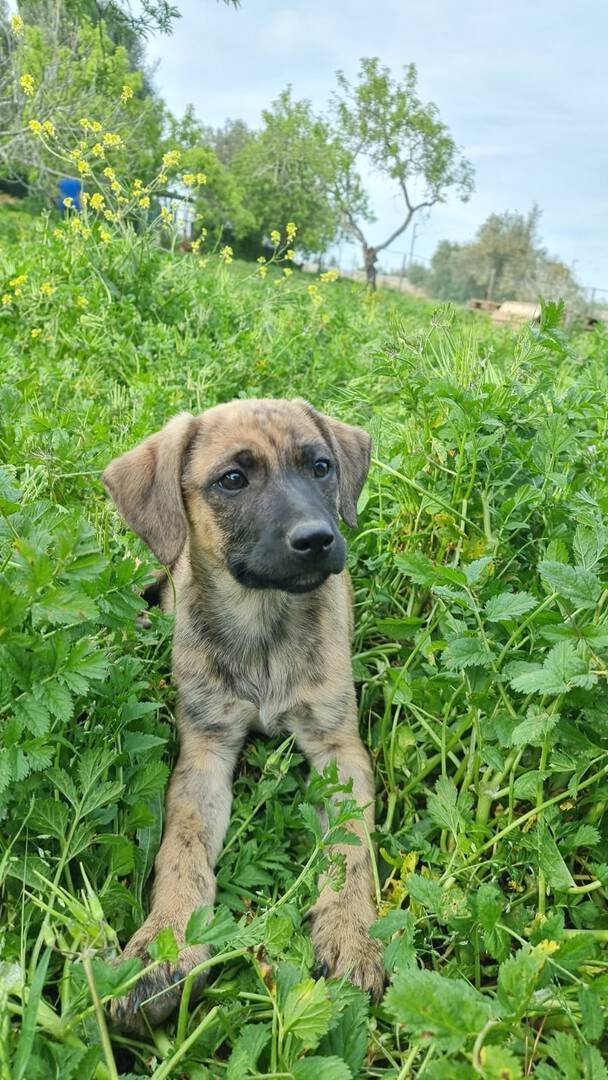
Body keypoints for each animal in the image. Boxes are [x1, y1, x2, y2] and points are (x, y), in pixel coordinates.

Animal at [102, 397, 383, 1031]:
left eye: (321, 467)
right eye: (232, 479)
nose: (318, 538)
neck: (262, 619)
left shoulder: (338, 749)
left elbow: (351, 847)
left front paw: (350, 933)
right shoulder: (205, 750)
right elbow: (181, 849)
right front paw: (165, 947)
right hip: (149, 566)